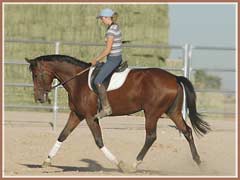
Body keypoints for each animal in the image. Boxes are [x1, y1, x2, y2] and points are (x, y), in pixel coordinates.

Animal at [25, 54, 210, 172]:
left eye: (36, 75)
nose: (39, 98)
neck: (78, 80)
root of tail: (174, 78)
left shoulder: (90, 117)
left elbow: (98, 141)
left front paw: (119, 164)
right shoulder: (77, 114)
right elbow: (62, 135)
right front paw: (46, 161)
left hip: (151, 112)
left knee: (151, 136)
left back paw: (133, 165)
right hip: (173, 112)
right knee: (187, 131)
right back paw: (199, 163)